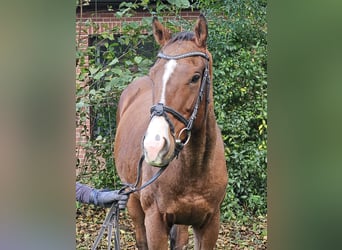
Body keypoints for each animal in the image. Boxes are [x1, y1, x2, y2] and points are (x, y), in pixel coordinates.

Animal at [113, 14, 228, 249]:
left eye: (195, 77)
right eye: (153, 74)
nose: (154, 146)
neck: (195, 168)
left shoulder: (210, 223)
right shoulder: (155, 222)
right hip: (132, 199)